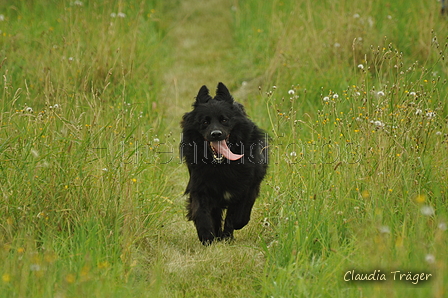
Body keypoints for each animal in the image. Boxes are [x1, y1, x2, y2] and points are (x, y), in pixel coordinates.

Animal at [179, 82, 268, 244]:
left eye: (224, 120)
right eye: (205, 122)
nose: (216, 134)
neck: (222, 165)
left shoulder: (248, 187)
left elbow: (237, 215)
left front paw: (228, 235)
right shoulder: (200, 186)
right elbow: (201, 212)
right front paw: (207, 237)